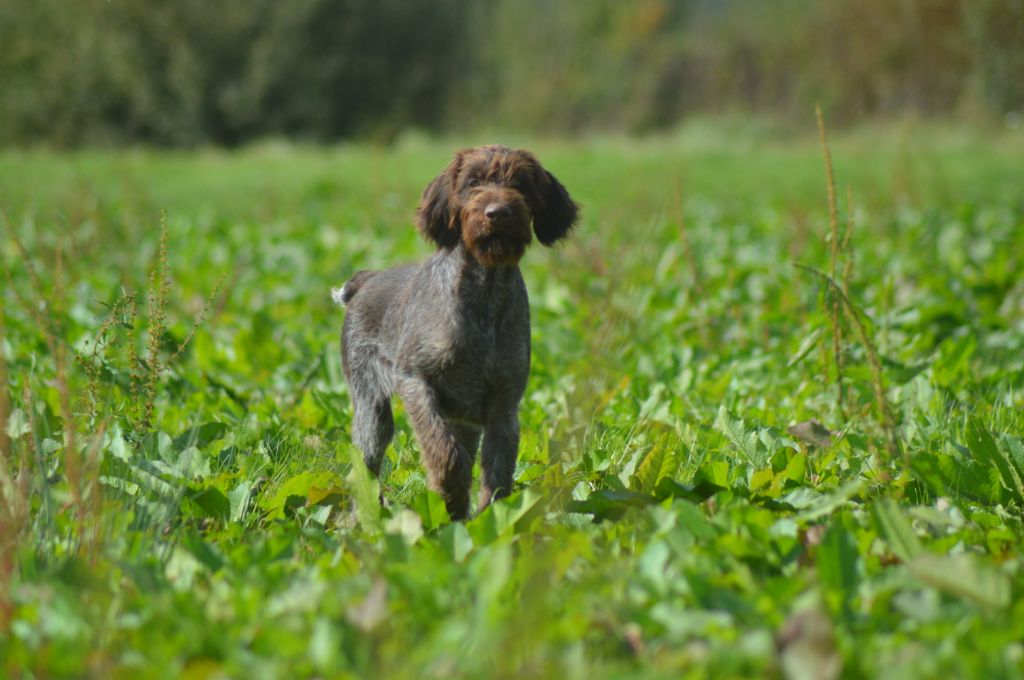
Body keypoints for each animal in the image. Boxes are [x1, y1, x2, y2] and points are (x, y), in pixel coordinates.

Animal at [333, 144, 581, 520]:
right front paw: (445, 500)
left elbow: (498, 477)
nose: (498, 213)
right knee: (365, 469)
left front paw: (487, 522)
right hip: (372, 413)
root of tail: (366, 280)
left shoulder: (504, 407)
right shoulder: (415, 382)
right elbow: (447, 456)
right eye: (473, 183)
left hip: (464, 420)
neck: (485, 294)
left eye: (520, 183)